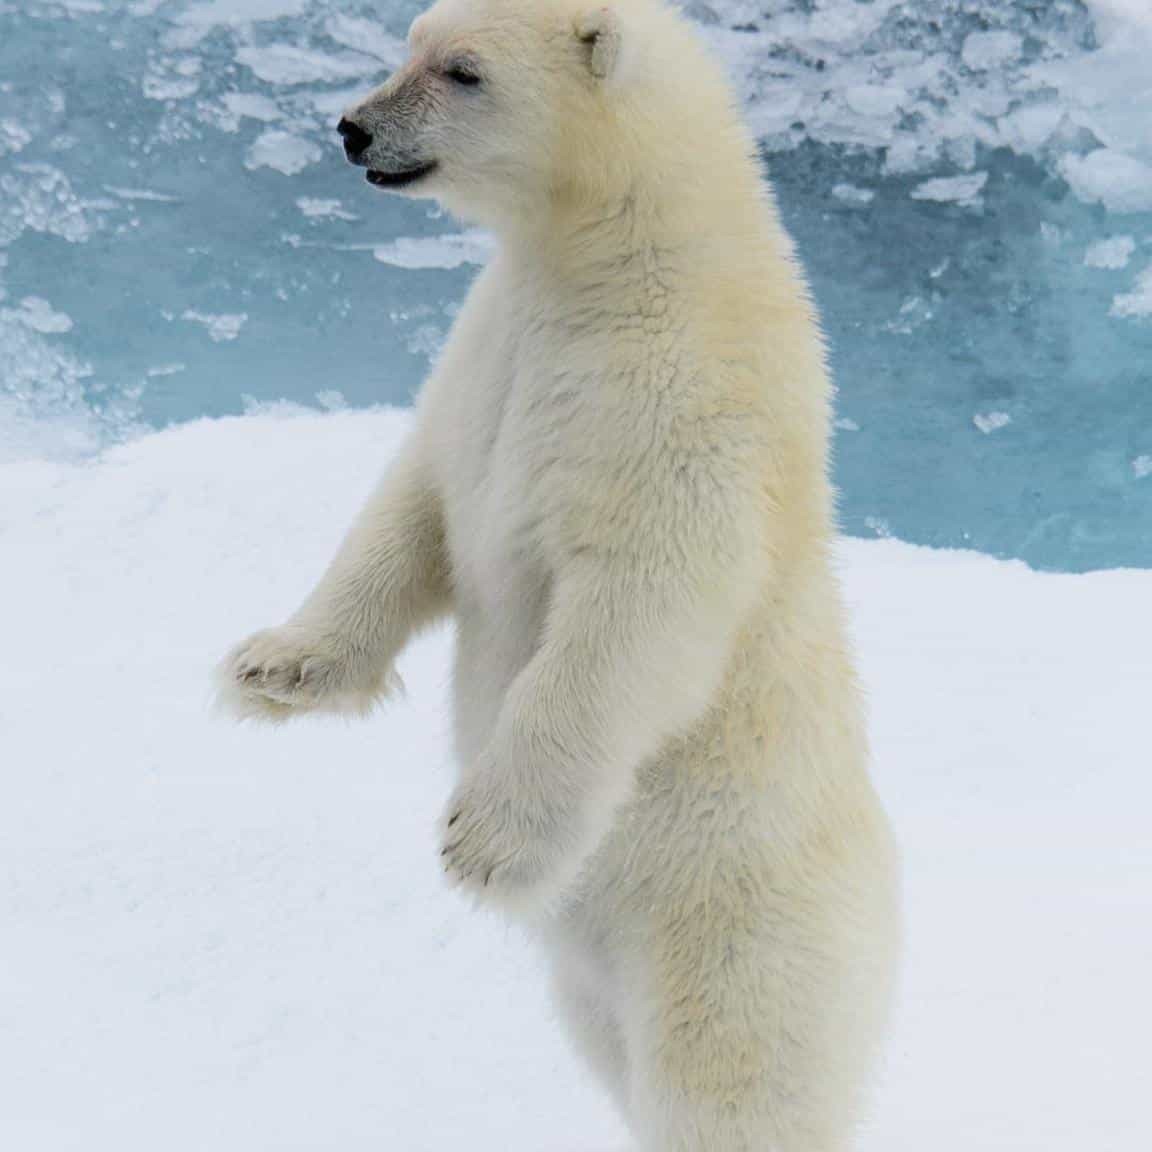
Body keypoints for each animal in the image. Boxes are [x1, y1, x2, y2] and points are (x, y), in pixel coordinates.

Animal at [217, 2, 898, 1152]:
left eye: (463, 71)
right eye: (411, 39)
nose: (353, 128)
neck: (610, 257)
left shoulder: (678, 409)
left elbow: (635, 612)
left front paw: (484, 840)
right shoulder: (492, 358)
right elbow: (417, 507)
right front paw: (273, 666)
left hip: (737, 930)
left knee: (733, 1087)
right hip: (598, 977)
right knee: (614, 1048)